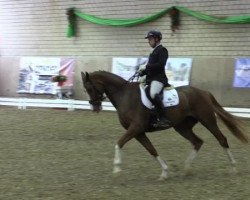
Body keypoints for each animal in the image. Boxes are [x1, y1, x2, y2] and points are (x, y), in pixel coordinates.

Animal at [81, 70, 247, 180]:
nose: (95, 107)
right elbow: (152, 150)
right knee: (197, 142)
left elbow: (119, 143)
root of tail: (203, 92)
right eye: (86, 89)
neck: (125, 95)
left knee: (222, 139)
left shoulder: (136, 128)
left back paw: (234, 168)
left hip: (208, 120)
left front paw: (116, 169)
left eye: (90, 87)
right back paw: (187, 169)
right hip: (181, 127)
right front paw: (165, 172)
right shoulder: (138, 132)